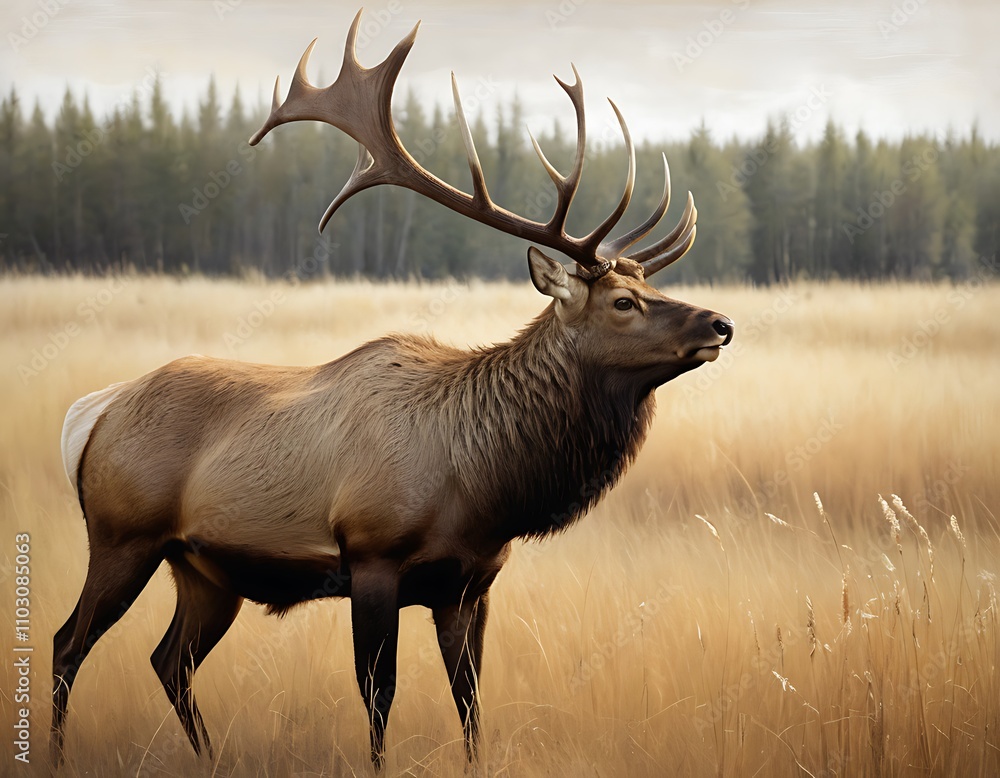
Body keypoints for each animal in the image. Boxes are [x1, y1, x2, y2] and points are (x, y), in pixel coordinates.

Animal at [51, 9, 734, 772]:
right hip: (121, 535)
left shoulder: (470, 583)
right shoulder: (372, 557)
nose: (721, 323)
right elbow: (379, 695)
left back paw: (208, 757)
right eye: (622, 302)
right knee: (67, 644)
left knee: (168, 660)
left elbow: (471, 700)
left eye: (647, 289)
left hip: (204, 570)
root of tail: (92, 412)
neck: (483, 486)